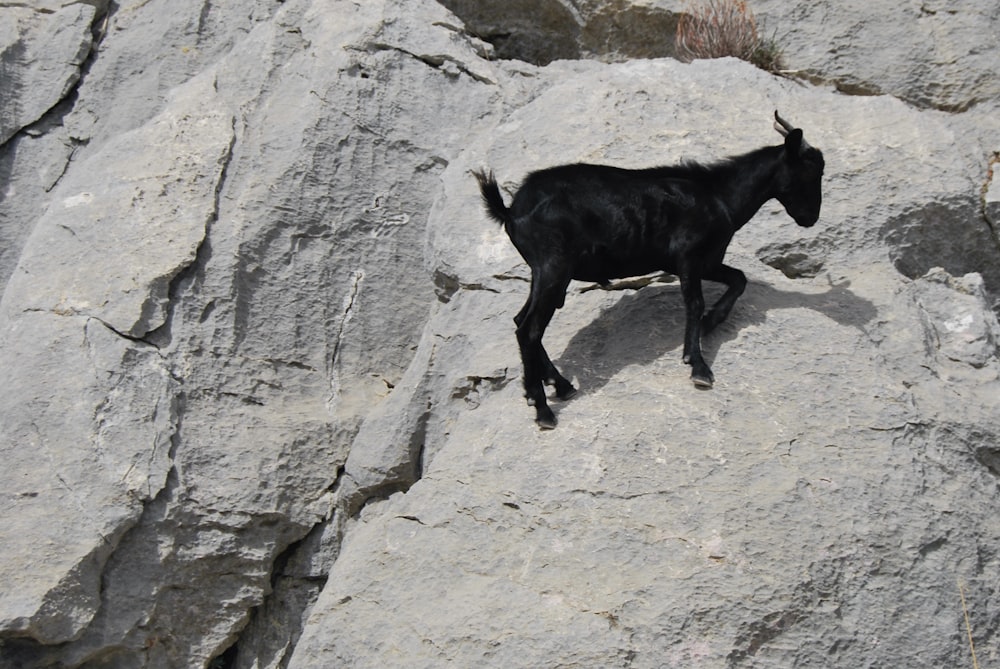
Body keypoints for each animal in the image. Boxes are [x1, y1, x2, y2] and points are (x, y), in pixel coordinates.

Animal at [480, 112, 824, 428]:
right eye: (811, 170)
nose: (811, 217)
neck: (718, 195)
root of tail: (510, 210)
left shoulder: (707, 261)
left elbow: (738, 279)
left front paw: (710, 323)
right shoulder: (689, 256)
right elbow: (694, 302)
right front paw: (699, 366)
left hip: (544, 273)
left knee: (521, 320)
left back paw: (559, 386)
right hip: (554, 266)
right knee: (529, 329)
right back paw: (543, 409)